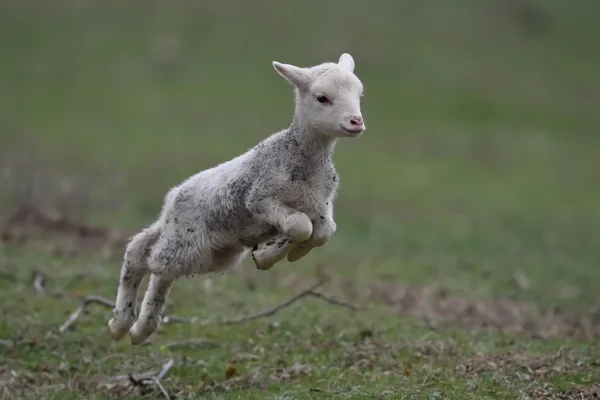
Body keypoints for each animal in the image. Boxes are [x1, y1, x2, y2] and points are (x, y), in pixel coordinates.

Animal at [110, 53, 368, 346]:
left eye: (359, 94)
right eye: (322, 97)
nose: (356, 122)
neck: (301, 158)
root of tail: (172, 198)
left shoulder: (321, 206)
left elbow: (323, 231)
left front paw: (286, 251)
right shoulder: (259, 199)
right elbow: (300, 226)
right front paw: (268, 256)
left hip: (210, 253)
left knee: (149, 259)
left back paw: (133, 327)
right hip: (186, 239)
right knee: (149, 260)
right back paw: (126, 324)